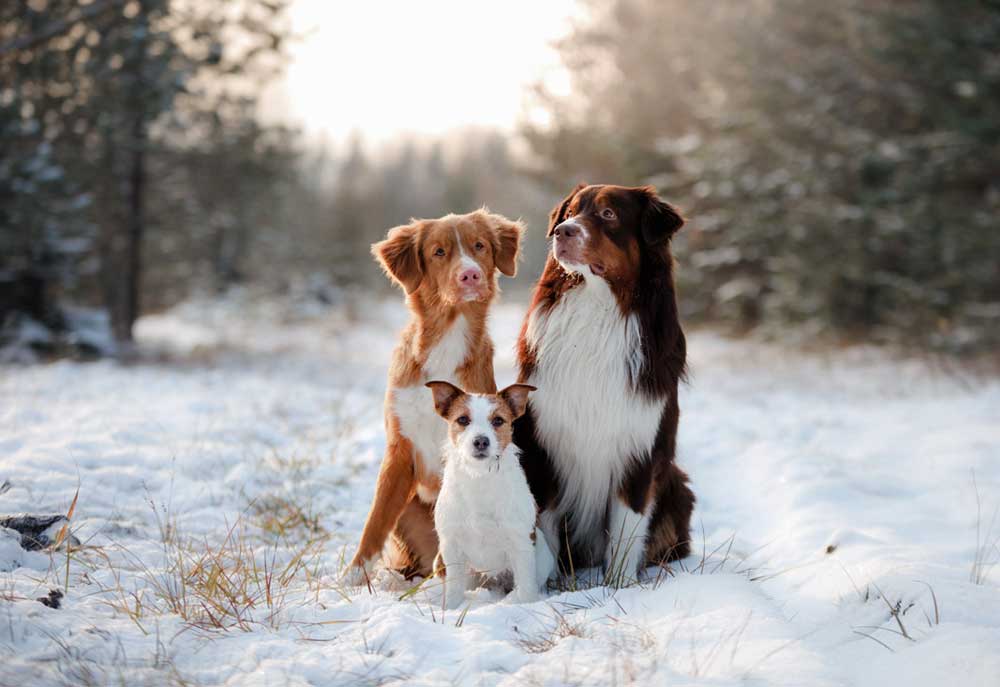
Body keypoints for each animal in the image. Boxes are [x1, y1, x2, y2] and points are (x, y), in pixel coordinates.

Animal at [344, 211, 524, 584]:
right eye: (439, 252)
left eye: (479, 246)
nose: (470, 274)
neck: (447, 337)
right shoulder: (399, 449)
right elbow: (375, 521)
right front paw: (352, 576)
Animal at [428, 378, 560, 612]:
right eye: (463, 419)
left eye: (498, 420)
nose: (481, 441)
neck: (479, 477)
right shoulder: (451, 545)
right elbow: (453, 587)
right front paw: (451, 608)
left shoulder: (520, 543)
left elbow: (526, 585)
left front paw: (526, 605)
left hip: (541, 554)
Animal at [512, 183, 692, 584]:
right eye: (570, 213)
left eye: (609, 214)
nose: (563, 232)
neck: (597, 305)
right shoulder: (544, 447)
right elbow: (545, 525)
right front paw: (551, 584)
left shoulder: (639, 449)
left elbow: (627, 528)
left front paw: (619, 587)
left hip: (677, 487)